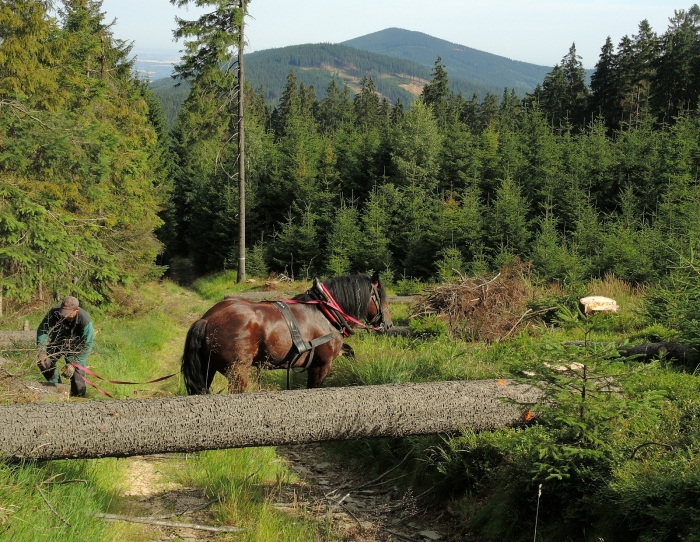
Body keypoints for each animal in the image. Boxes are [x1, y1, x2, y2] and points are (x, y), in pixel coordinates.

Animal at [180, 272, 392, 396]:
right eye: (381, 296)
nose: (388, 325)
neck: (326, 311)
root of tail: (207, 319)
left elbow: (349, 351)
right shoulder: (321, 364)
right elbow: (313, 387)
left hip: (208, 368)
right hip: (237, 370)